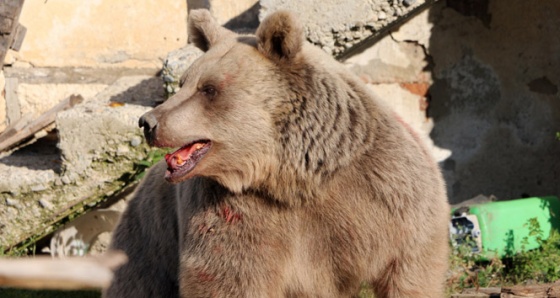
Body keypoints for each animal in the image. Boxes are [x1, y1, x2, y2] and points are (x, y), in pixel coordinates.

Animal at [106, 8, 450, 298]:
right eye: (184, 83)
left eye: (208, 89)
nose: (148, 121)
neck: (295, 176)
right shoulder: (238, 212)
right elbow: (230, 276)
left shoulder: (385, 194)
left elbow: (409, 269)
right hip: (149, 238)